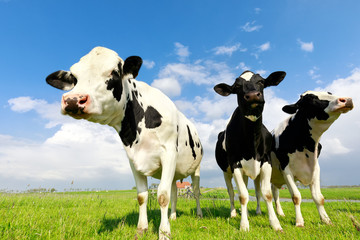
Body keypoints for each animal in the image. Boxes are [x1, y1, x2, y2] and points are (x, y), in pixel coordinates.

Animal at [45, 47, 202, 240]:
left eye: (114, 72)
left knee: (196, 192)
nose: (73, 100)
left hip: (196, 169)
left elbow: (162, 196)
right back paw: (172, 217)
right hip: (174, 174)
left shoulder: (169, 154)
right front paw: (141, 230)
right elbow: (142, 196)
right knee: (174, 193)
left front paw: (164, 233)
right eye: (74, 77)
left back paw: (198, 215)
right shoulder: (133, 160)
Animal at [214, 70, 286, 232]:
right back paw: (234, 213)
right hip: (226, 171)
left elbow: (266, 194)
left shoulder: (266, 161)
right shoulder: (235, 164)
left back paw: (255, 212)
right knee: (232, 192)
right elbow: (242, 196)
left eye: (261, 82)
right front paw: (244, 225)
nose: (253, 95)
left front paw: (275, 223)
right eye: (237, 87)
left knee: (256, 192)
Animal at [256, 90, 354, 227]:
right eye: (310, 98)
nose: (346, 100)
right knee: (258, 193)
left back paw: (280, 213)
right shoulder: (286, 170)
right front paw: (299, 222)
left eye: (330, 92)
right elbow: (296, 196)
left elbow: (319, 197)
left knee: (275, 192)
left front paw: (326, 220)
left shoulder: (315, 168)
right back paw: (258, 212)